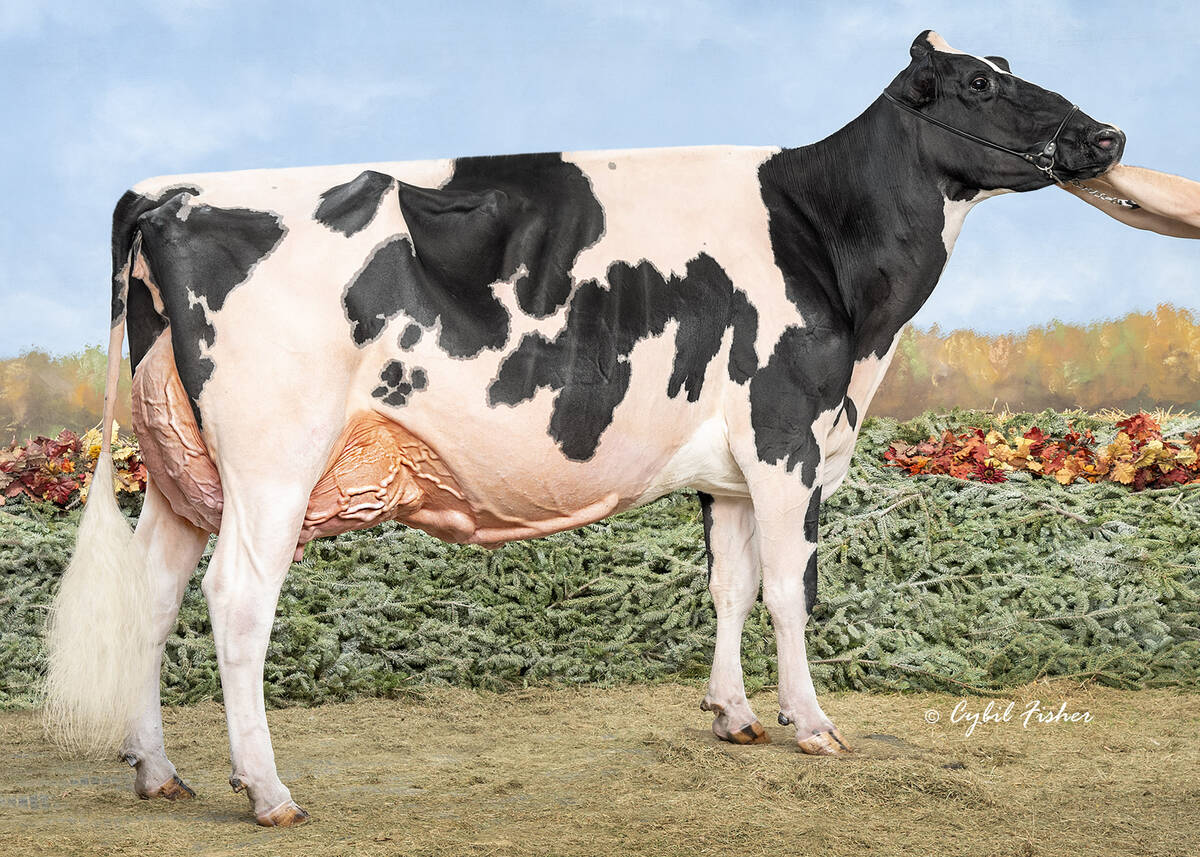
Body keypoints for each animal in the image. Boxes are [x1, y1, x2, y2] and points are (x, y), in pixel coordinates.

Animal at [44, 31, 1124, 827]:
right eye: (981, 82)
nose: (1107, 135)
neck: (832, 253)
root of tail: (168, 192)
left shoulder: (728, 467)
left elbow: (728, 586)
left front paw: (734, 714)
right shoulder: (788, 433)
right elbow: (788, 590)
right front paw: (812, 722)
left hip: (182, 469)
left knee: (153, 596)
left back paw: (157, 769)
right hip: (272, 463)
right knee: (235, 602)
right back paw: (267, 789)